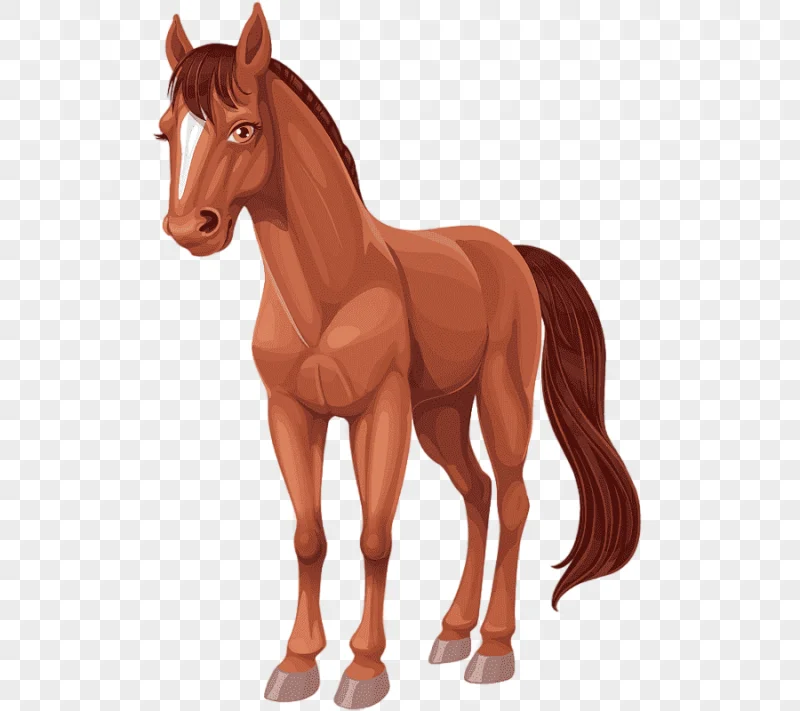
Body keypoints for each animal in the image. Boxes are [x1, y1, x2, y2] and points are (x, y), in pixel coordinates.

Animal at [158, 4, 640, 707]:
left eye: (244, 128)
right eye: (166, 133)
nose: (191, 227)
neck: (333, 289)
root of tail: (509, 253)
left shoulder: (379, 412)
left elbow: (375, 535)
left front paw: (364, 669)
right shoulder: (291, 414)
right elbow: (309, 537)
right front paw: (297, 663)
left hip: (500, 400)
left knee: (513, 500)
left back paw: (493, 649)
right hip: (440, 414)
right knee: (477, 492)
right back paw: (453, 632)